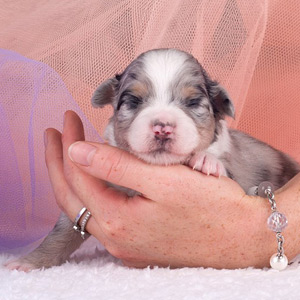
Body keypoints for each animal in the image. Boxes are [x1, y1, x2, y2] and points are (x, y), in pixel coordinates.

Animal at [5, 48, 300, 270]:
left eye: (193, 103)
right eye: (134, 100)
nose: (162, 127)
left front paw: (206, 160)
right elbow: (63, 229)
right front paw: (30, 262)